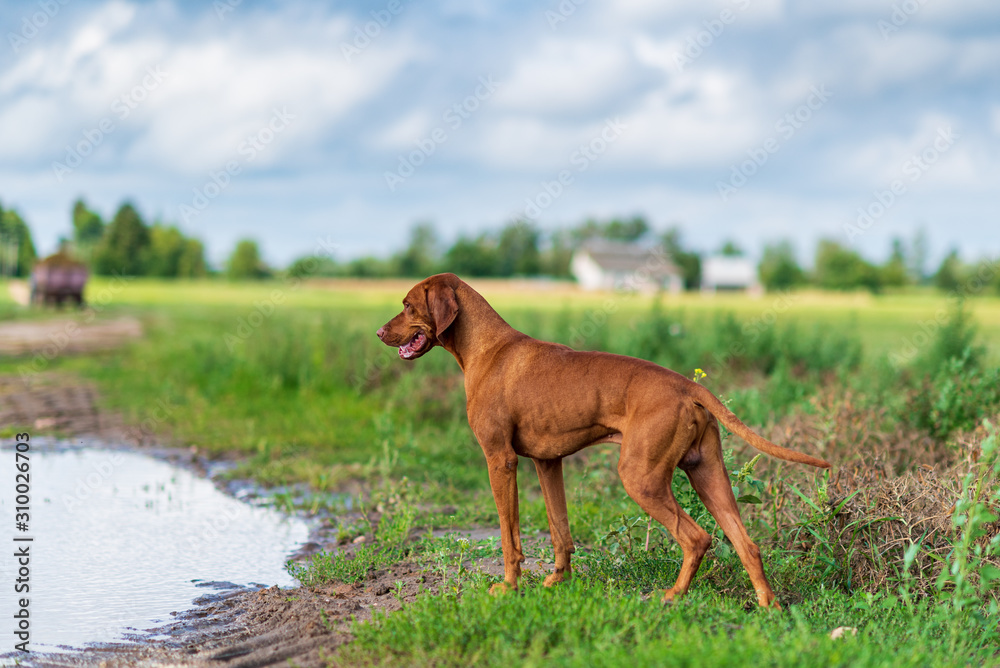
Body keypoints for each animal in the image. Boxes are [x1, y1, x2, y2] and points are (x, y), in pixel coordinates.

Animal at [376, 274, 828, 608]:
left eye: (407, 305)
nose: (379, 331)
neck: (487, 349)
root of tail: (687, 386)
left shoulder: (500, 460)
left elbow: (509, 536)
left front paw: (508, 587)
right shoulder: (547, 462)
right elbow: (560, 530)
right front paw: (558, 581)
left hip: (641, 477)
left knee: (697, 538)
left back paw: (673, 595)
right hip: (708, 474)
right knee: (746, 543)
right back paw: (768, 605)